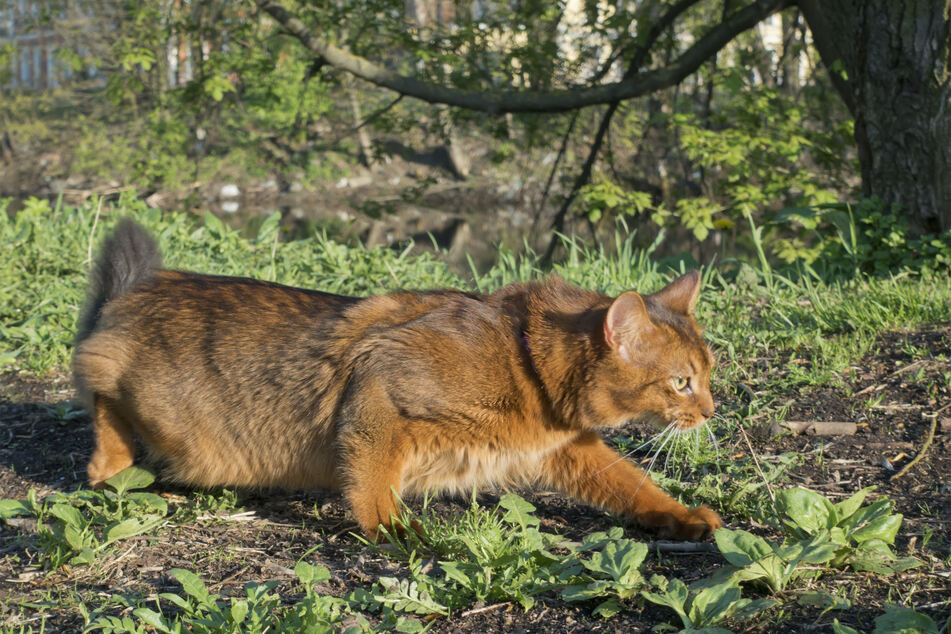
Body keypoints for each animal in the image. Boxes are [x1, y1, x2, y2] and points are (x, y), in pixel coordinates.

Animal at [74, 217, 724, 540]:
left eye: (708, 376)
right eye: (681, 383)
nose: (711, 411)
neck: (524, 361)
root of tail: (139, 287)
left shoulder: (568, 450)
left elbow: (633, 485)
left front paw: (681, 517)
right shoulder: (377, 389)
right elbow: (372, 480)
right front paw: (393, 530)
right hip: (161, 409)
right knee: (97, 392)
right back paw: (115, 468)